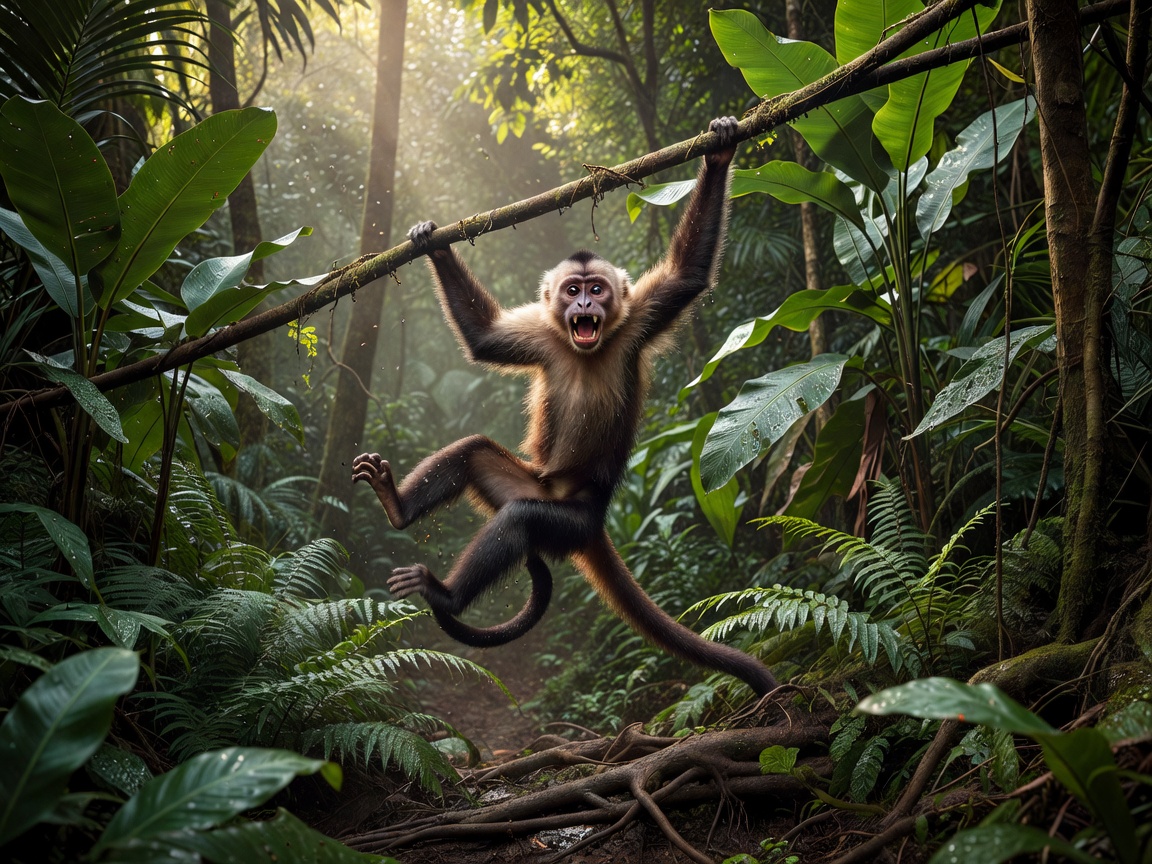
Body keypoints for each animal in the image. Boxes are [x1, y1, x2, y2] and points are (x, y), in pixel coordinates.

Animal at [352, 117, 778, 696]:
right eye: (573, 290)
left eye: (597, 289)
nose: (584, 306)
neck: (583, 346)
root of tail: (578, 505)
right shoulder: (546, 336)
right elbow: (484, 341)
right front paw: (432, 247)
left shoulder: (633, 323)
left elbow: (688, 275)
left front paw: (719, 154)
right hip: (526, 480)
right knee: (475, 456)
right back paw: (398, 508)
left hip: (569, 521)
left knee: (523, 520)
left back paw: (446, 595)